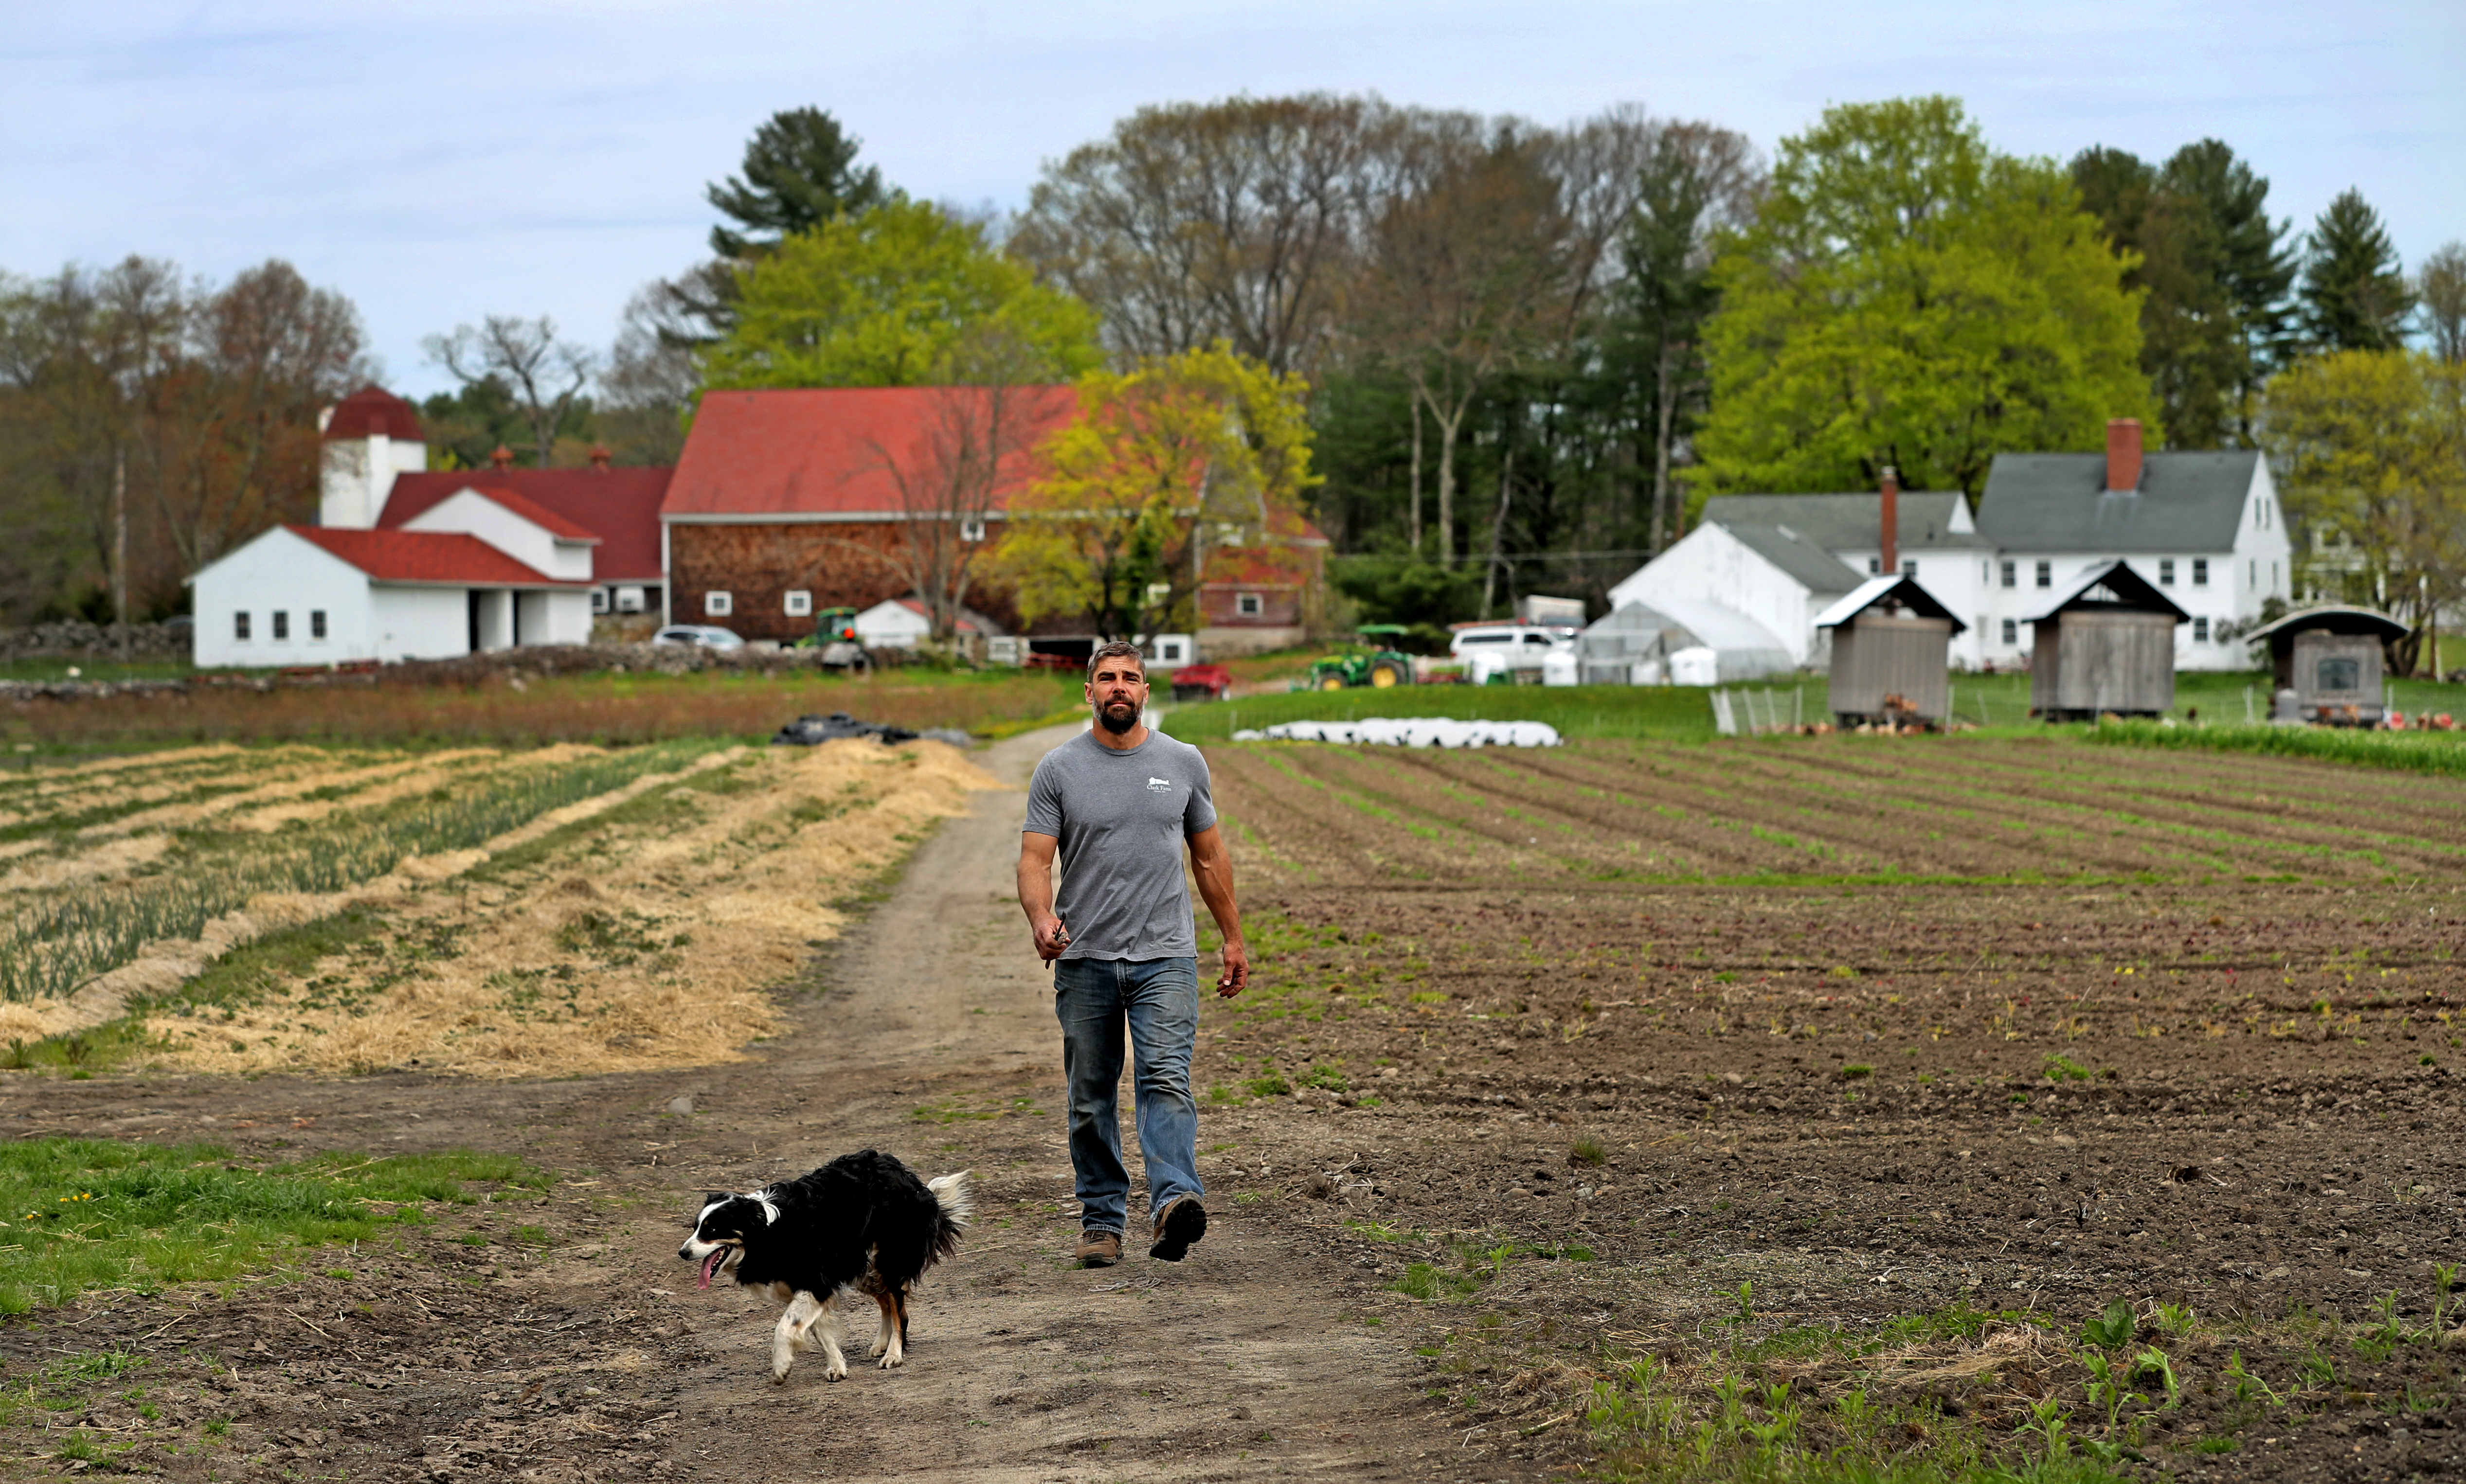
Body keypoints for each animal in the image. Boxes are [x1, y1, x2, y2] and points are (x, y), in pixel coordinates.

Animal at [685, 1148, 981, 1380]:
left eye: (711, 1230)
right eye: (696, 1227)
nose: (683, 1252)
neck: (769, 1232)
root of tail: (906, 1175)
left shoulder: (817, 1280)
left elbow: (785, 1326)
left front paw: (781, 1366)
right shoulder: (813, 1285)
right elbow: (818, 1331)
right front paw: (837, 1367)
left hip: (887, 1257)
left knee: (898, 1306)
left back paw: (893, 1354)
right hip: (860, 1266)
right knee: (889, 1302)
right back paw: (881, 1344)